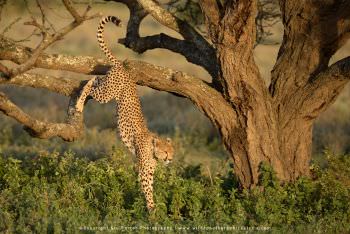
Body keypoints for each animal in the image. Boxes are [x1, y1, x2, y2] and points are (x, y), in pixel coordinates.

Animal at [76, 15, 175, 211]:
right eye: (165, 152)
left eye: (172, 151)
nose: (170, 159)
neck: (153, 147)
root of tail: (123, 67)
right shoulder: (144, 171)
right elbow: (147, 191)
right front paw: (152, 210)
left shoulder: (149, 171)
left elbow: (150, 188)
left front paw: (153, 208)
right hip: (106, 94)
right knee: (91, 83)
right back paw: (78, 104)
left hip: (108, 88)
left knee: (96, 78)